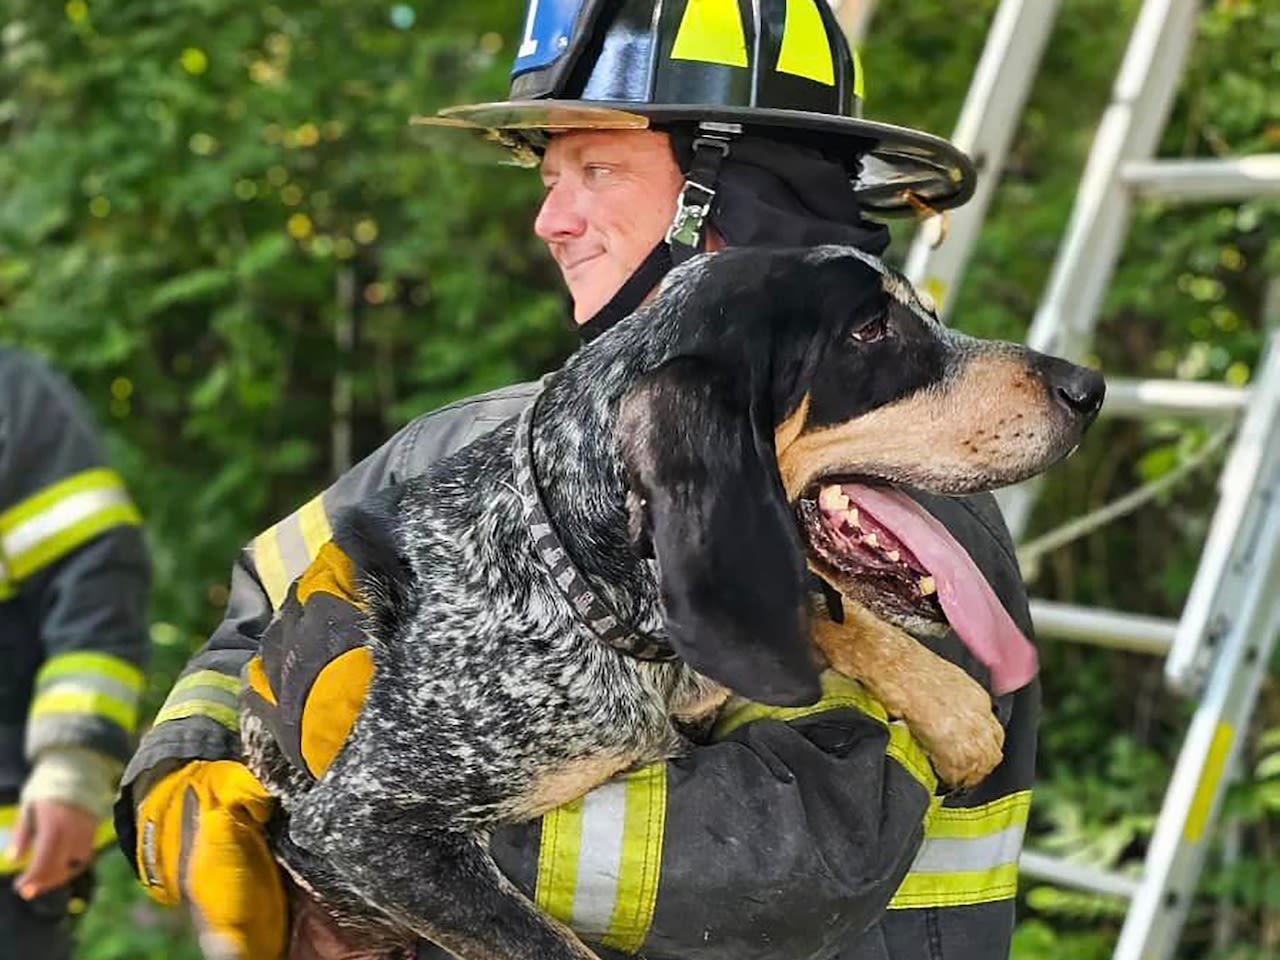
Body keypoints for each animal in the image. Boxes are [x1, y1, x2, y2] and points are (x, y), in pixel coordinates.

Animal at [240, 245, 1100, 960]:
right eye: (869, 329)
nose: (1089, 387)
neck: (576, 586)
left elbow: (811, 616)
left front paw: (950, 706)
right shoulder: (368, 824)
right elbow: (548, 945)